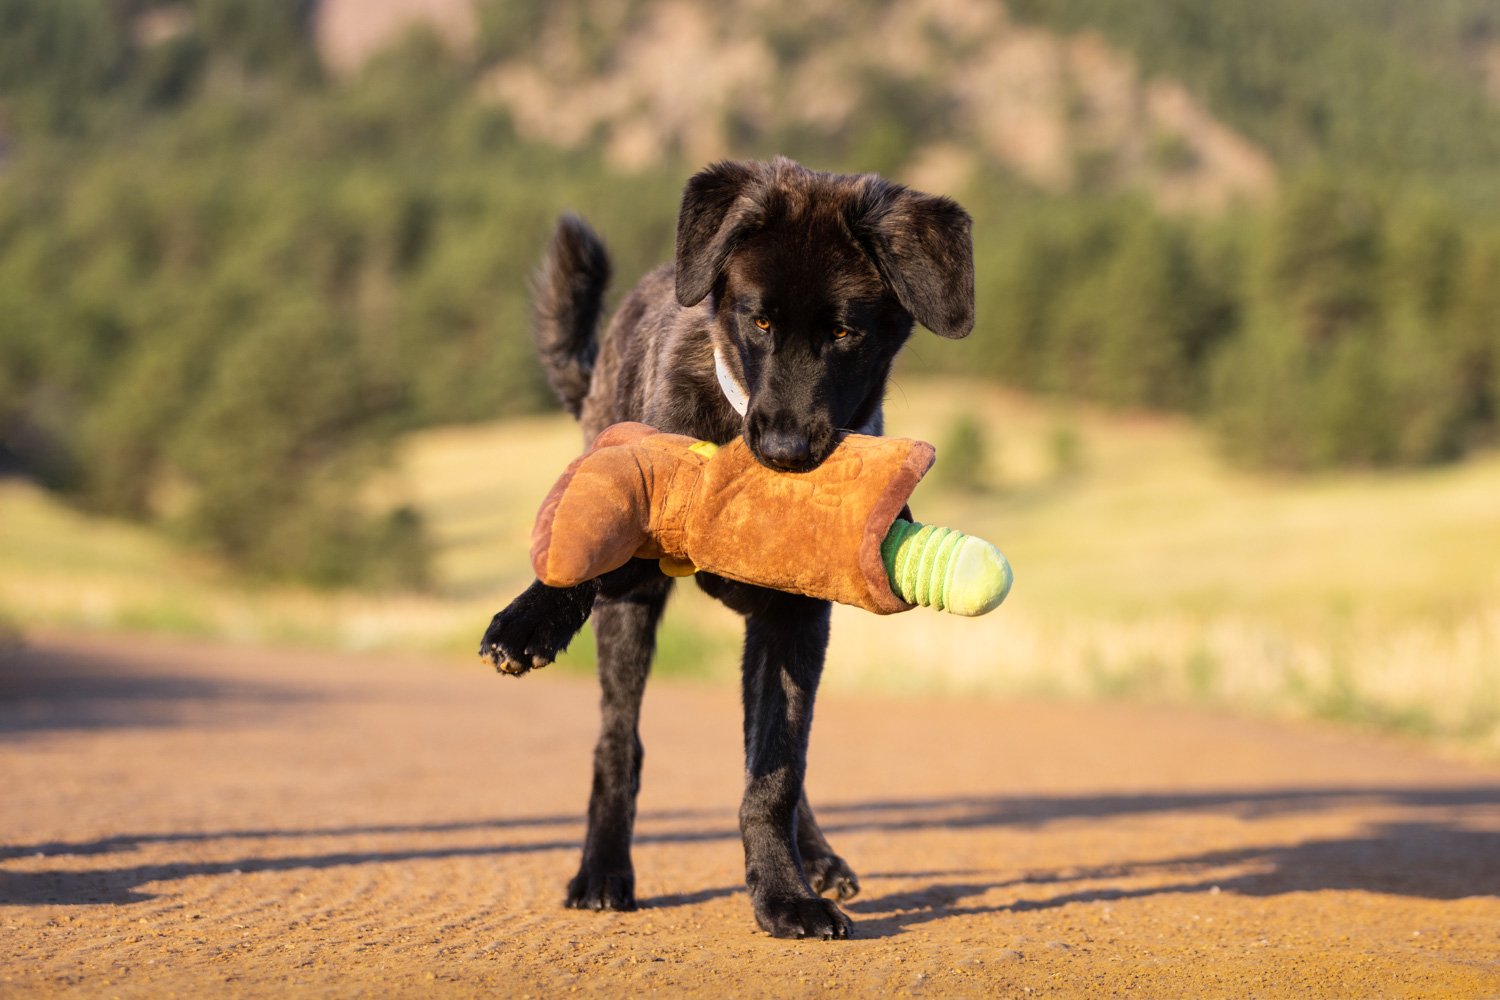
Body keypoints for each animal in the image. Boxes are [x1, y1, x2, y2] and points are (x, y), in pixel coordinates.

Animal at [477, 156, 972, 941]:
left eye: (846, 333)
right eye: (758, 320)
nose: (784, 451)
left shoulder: (794, 621)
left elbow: (775, 770)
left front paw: (784, 893)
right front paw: (529, 618)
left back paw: (814, 857)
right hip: (631, 613)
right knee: (619, 741)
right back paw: (603, 869)